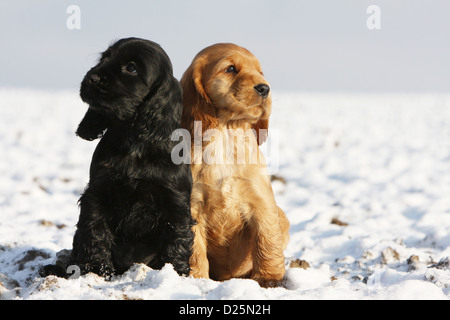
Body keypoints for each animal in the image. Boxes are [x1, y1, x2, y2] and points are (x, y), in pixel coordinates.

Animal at [42, 37, 195, 278]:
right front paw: (97, 270)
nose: (92, 77)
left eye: (131, 68)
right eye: (104, 58)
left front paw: (175, 271)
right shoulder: (98, 191)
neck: (135, 142)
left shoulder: (175, 199)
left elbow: (177, 237)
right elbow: (94, 232)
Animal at [180, 43, 290, 288]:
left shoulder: (261, 202)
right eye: (230, 69)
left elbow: (267, 240)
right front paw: (197, 279)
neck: (226, 132)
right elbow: (195, 249)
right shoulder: (192, 206)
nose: (265, 89)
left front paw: (270, 278)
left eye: (260, 71)